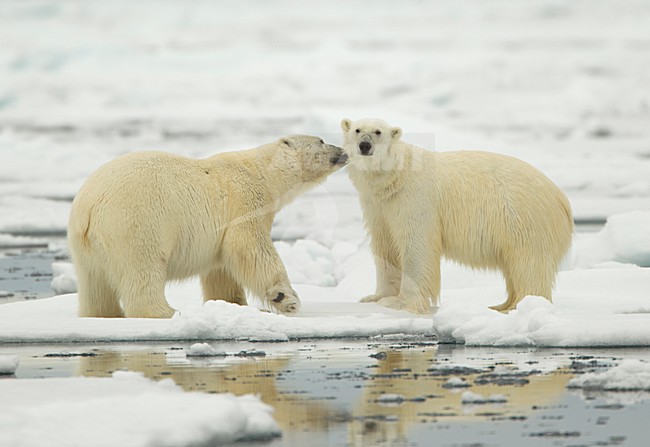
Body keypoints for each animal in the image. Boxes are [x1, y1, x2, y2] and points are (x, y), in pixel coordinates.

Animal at [68, 135, 348, 318]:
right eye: (321, 140)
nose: (344, 151)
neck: (262, 172)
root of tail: (89, 208)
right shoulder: (245, 201)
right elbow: (250, 247)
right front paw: (286, 299)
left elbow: (221, 269)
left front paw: (233, 305)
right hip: (138, 222)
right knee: (144, 268)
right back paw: (167, 312)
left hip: (85, 249)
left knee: (96, 286)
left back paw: (102, 314)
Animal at [341, 117, 573, 314]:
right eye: (357, 130)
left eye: (378, 132)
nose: (364, 145)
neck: (396, 177)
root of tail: (561, 199)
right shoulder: (379, 206)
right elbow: (385, 246)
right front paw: (375, 297)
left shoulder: (416, 199)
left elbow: (416, 246)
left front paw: (400, 302)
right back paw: (501, 305)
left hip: (524, 217)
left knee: (528, 264)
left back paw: (521, 305)